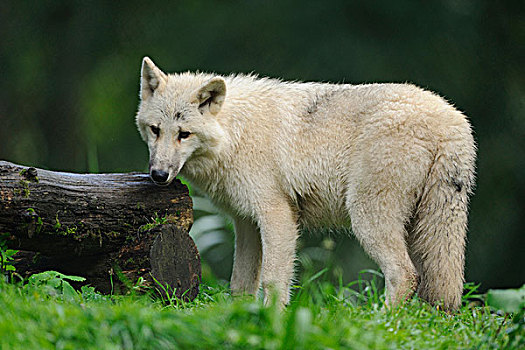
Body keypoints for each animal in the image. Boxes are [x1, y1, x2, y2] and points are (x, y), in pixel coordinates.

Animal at [134, 56, 474, 308]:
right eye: (155, 130)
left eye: (184, 134)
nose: (159, 175)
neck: (235, 134)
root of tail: (452, 120)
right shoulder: (246, 224)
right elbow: (240, 285)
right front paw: (240, 318)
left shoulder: (278, 218)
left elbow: (273, 281)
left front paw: (271, 320)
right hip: (424, 230)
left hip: (368, 219)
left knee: (404, 275)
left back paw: (383, 323)